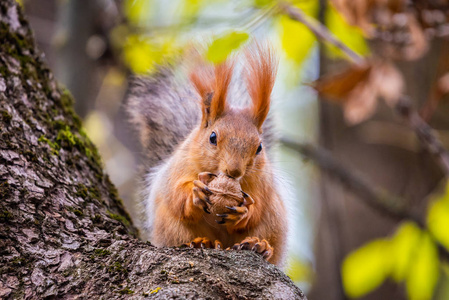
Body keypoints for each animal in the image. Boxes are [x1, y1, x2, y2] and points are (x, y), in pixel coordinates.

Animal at [126, 43, 288, 266]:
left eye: (259, 147)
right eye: (212, 137)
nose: (234, 171)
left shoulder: (263, 184)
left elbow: (258, 207)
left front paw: (244, 211)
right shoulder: (178, 168)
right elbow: (175, 195)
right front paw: (195, 193)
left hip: (273, 224)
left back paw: (258, 245)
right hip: (172, 226)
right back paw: (201, 242)